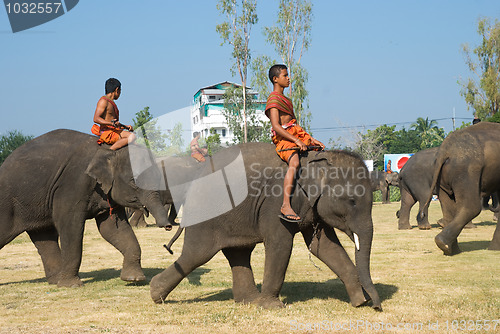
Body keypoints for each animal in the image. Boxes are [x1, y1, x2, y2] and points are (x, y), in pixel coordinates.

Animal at [0, 129, 172, 286]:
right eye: (134, 181)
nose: (168, 227)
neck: (109, 150)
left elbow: (113, 229)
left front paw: (134, 279)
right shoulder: (72, 185)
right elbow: (70, 226)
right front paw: (72, 285)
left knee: (44, 236)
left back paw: (55, 281)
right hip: (8, 202)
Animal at [150, 143, 380, 310]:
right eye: (352, 201)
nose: (377, 306)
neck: (316, 158)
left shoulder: (311, 206)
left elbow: (323, 247)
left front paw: (360, 302)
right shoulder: (278, 203)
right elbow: (281, 244)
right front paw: (273, 307)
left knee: (238, 253)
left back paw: (249, 301)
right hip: (206, 213)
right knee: (196, 255)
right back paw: (155, 293)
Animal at [420, 122, 500, 256]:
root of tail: (445, 150)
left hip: (443, 176)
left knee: (449, 208)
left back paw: (451, 250)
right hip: (466, 171)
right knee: (471, 207)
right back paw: (444, 244)